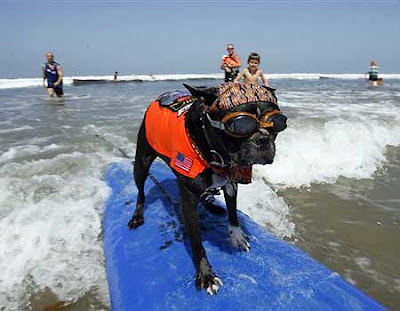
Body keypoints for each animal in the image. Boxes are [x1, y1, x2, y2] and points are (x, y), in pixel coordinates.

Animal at [130, 83, 286, 294]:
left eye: (277, 123)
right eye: (240, 126)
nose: (263, 138)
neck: (216, 154)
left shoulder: (231, 183)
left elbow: (233, 215)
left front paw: (236, 237)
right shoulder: (188, 200)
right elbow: (197, 242)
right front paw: (205, 274)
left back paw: (212, 205)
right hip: (142, 162)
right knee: (140, 191)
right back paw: (137, 215)